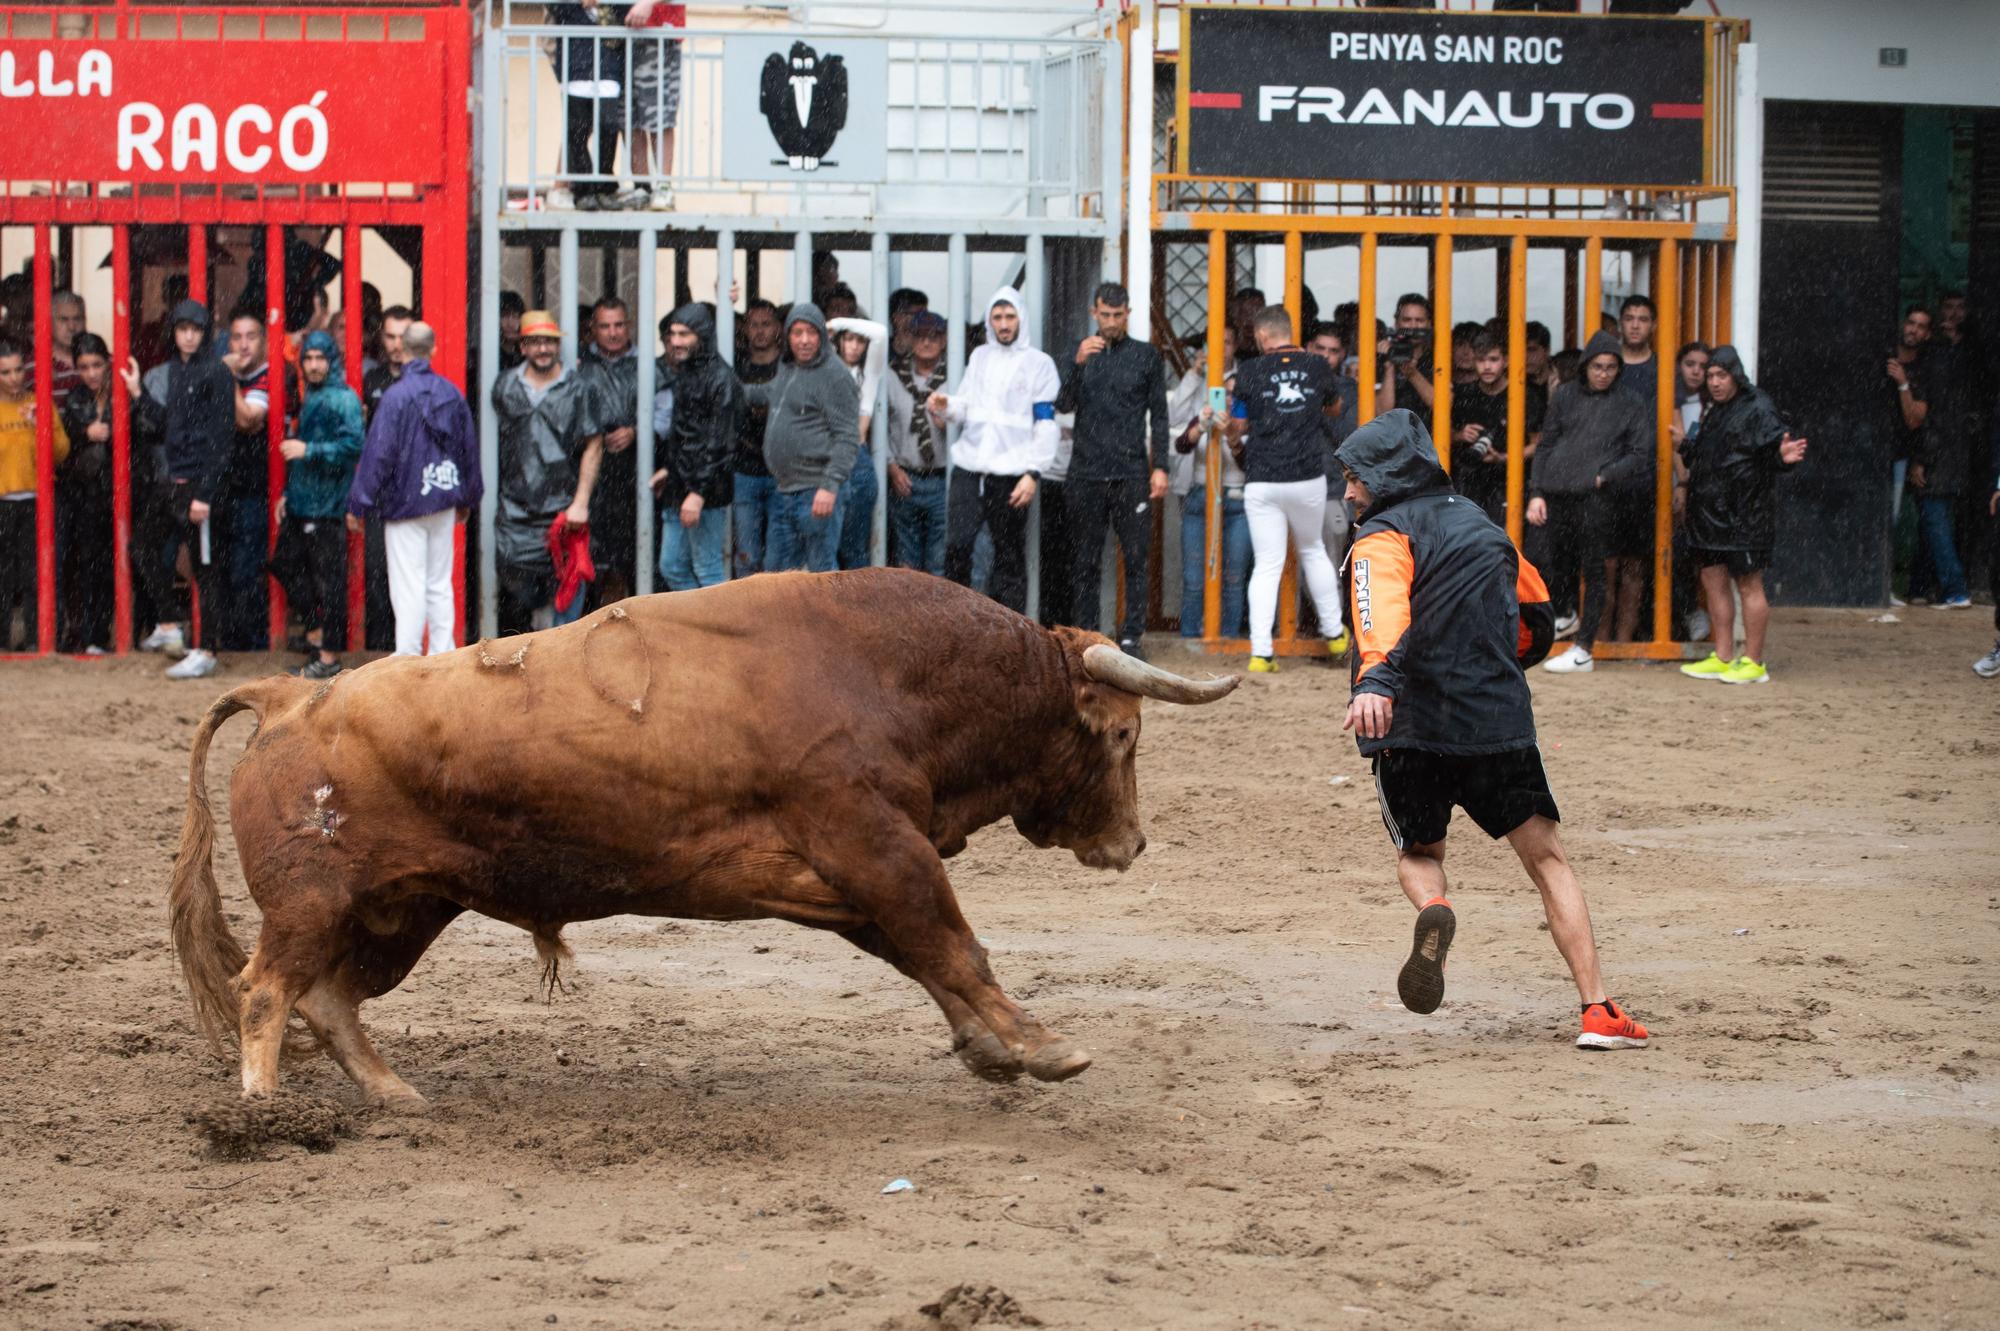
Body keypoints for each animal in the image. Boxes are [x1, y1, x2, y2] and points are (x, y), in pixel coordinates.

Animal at [168, 563, 1232, 1103]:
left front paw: (990, 1047)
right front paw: (1041, 1046)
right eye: (1125, 735)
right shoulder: (876, 845)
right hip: (313, 906)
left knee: (331, 998)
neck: (886, 668)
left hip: (408, 907)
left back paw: (397, 1095)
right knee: (267, 988)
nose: (1132, 843)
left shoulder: (848, 873)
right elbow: (953, 945)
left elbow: (922, 955)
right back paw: (260, 1109)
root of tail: (291, 698)